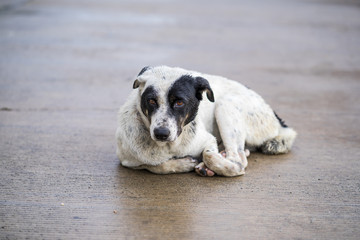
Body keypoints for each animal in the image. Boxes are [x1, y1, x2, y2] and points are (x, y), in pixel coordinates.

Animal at [116, 65, 296, 176]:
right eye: (151, 101)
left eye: (179, 102)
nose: (161, 133)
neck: (170, 147)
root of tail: (275, 117)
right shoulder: (128, 160)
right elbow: (154, 165)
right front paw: (182, 164)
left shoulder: (208, 139)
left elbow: (209, 154)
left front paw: (228, 168)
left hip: (225, 106)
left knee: (238, 156)